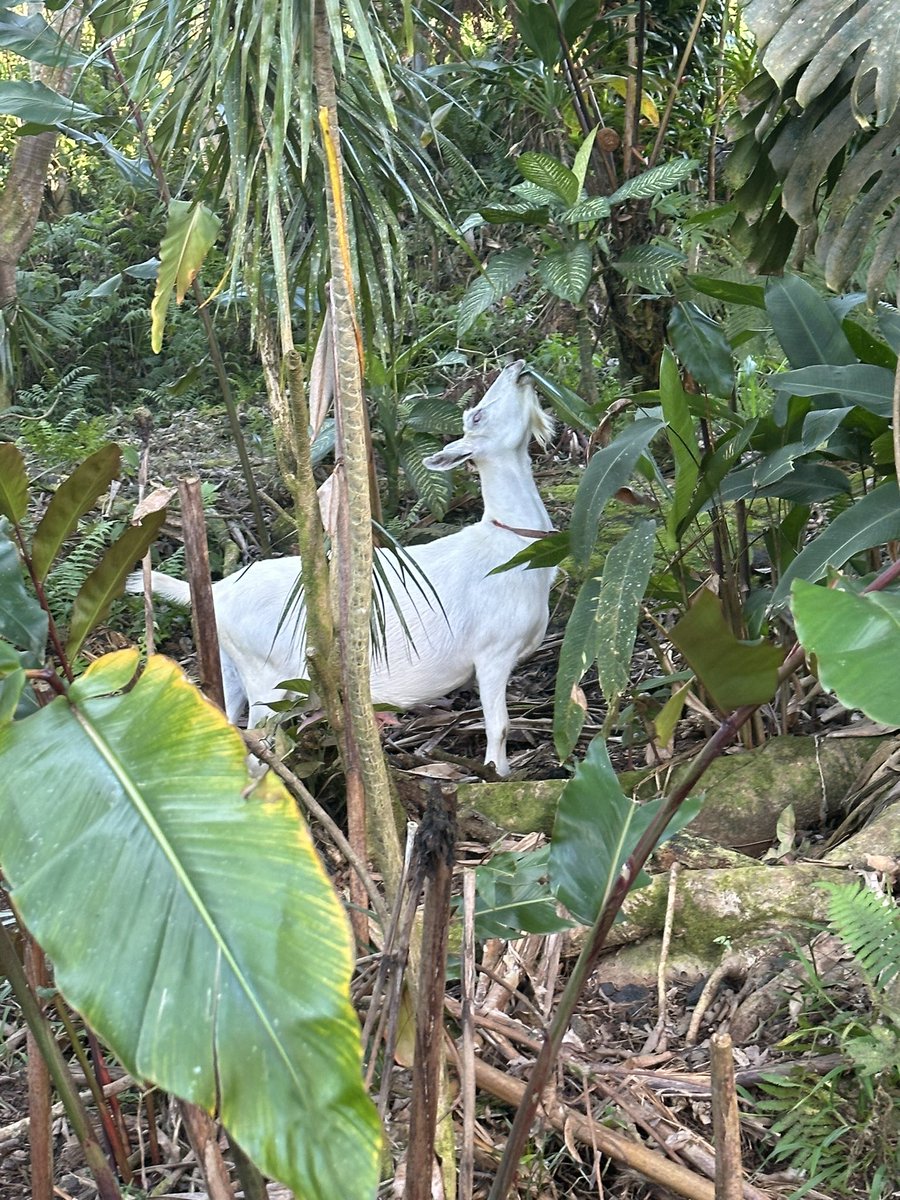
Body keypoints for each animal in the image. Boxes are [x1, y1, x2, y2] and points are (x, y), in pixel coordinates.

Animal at [129, 360, 555, 775]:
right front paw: (498, 775)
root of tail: (220, 591)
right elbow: (499, 727)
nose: (517, 366)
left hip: (232, 668)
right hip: (267, 679)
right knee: (257, 752)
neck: (509, 545)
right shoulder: (494, 651)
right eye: (476, 416)